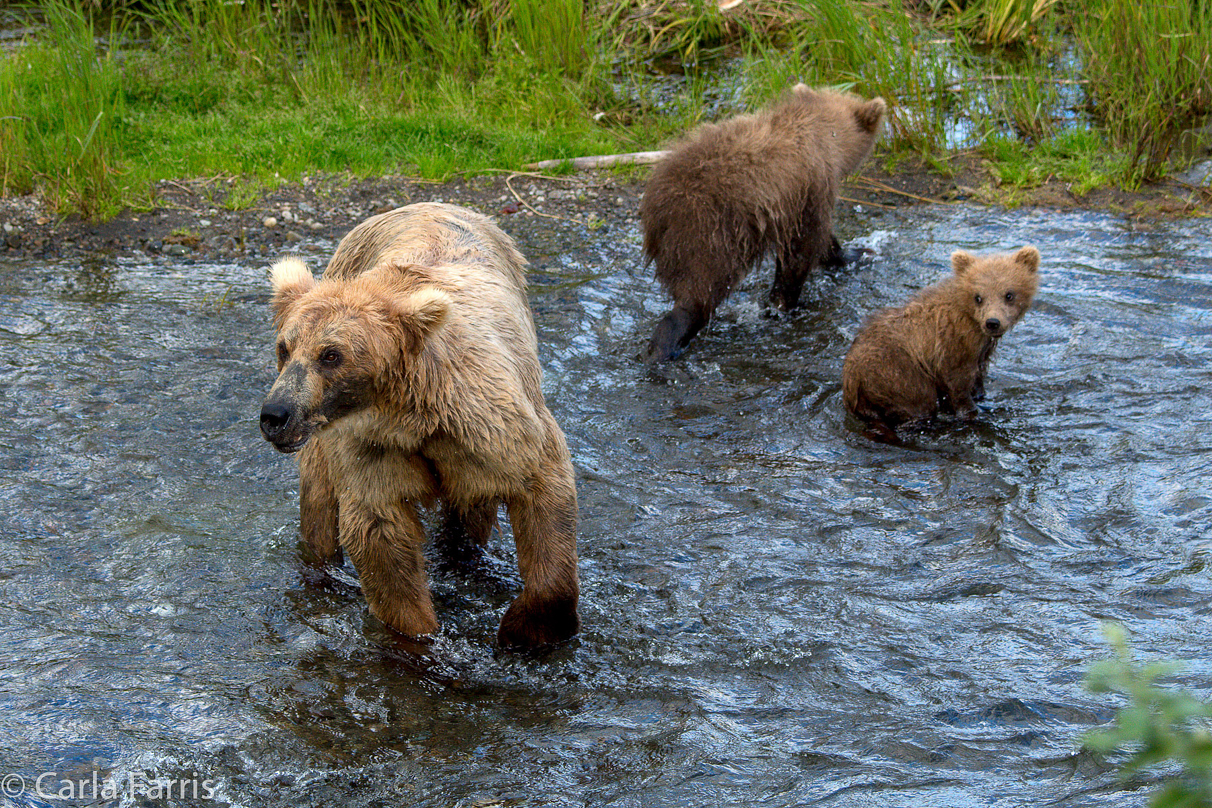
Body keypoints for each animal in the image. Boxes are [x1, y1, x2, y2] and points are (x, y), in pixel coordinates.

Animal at [259, 203, 576, 649]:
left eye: (331, 354)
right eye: (284, 348)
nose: (275, 414)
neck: (411, 416)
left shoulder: (491, 429)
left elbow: (543, 485)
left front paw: (523, 628)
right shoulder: (370, 447)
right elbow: (381, 534)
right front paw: (417, 636)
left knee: (471, 509)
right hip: (323, 447)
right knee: (319, 504)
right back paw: (320, 572)